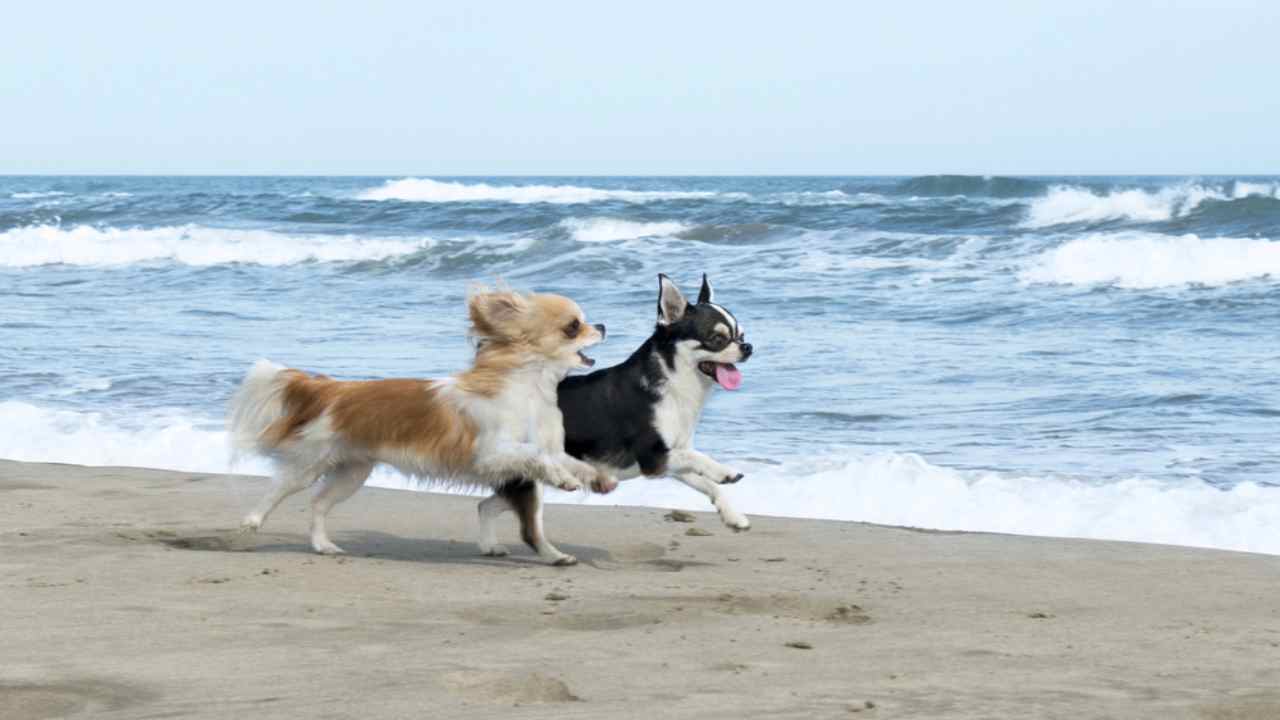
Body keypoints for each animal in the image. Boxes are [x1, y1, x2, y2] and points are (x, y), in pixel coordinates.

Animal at [229, 284, 609, 561]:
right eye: (573, 326)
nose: (603, 325)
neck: (530, 388)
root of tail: (333, 388)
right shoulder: (491, 453)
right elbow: (537, 456)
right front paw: (563, 480)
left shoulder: (542, 449)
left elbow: (567, 460)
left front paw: (596, 477)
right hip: (311, 463)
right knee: (279, 489)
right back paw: (251, 522)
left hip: (353, 472)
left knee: (319, 503)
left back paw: (323, 545)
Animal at [478, 272, 752, 561]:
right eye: (717, 339)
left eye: (741, 334)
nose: (748, 346)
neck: (677, 384)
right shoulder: (654, 458)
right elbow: (698, 457)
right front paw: (725, 470)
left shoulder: (669, 460)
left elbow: (708, 483)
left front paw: (733, 516)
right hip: (534, 477)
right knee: (528, 529)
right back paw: (556, 557)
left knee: (485, 505)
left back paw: (490, 545)